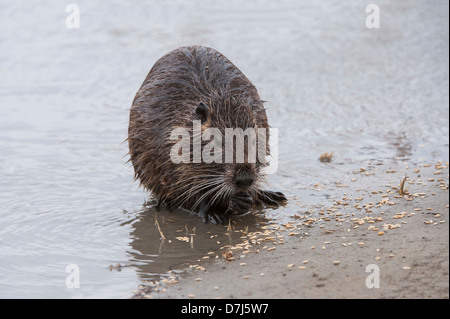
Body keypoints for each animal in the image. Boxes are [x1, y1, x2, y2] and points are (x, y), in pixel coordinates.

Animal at [128, 45, 286, 225]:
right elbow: (184, 189)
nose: (244, 179)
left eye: (254, 141)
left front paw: (249, 197)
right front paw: (218, 209)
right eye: (217, 143)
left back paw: (271, 196)